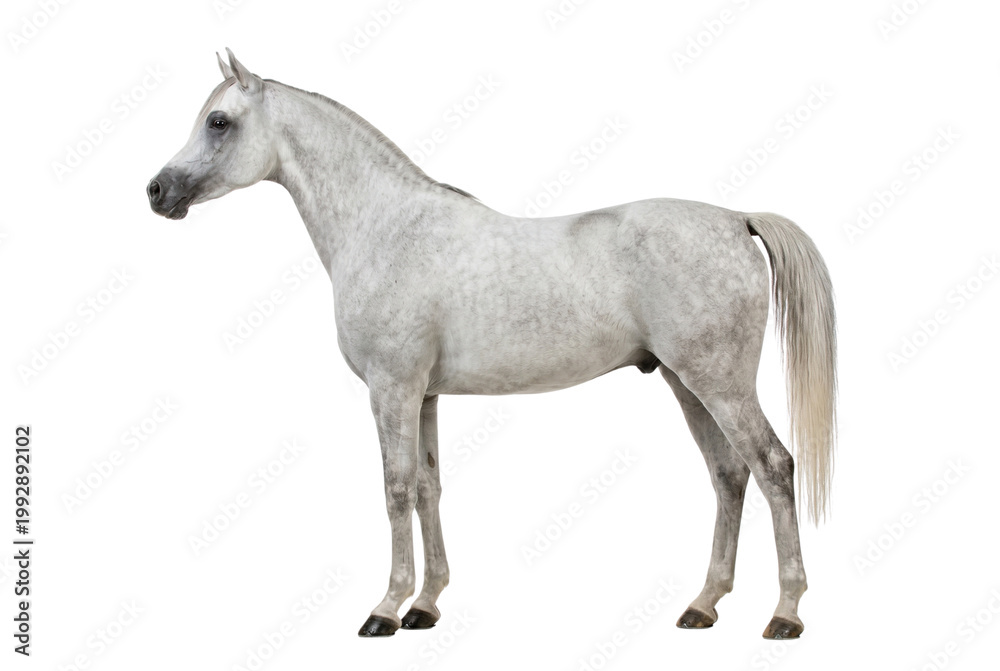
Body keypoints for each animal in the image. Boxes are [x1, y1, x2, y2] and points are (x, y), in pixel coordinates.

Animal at [147, 49, 836, 640]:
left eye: (218, 121)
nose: (157, 191)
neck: (387, 228)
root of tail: (736, 219)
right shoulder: (424, 395)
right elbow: (428, 487)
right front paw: (425, 605)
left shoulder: (392, 389)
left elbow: (395, 488)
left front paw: (386, 608)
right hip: (686, 382)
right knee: (728, 475)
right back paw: (703, 605)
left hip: (720, 384)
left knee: (773, 466)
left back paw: (785, 614)